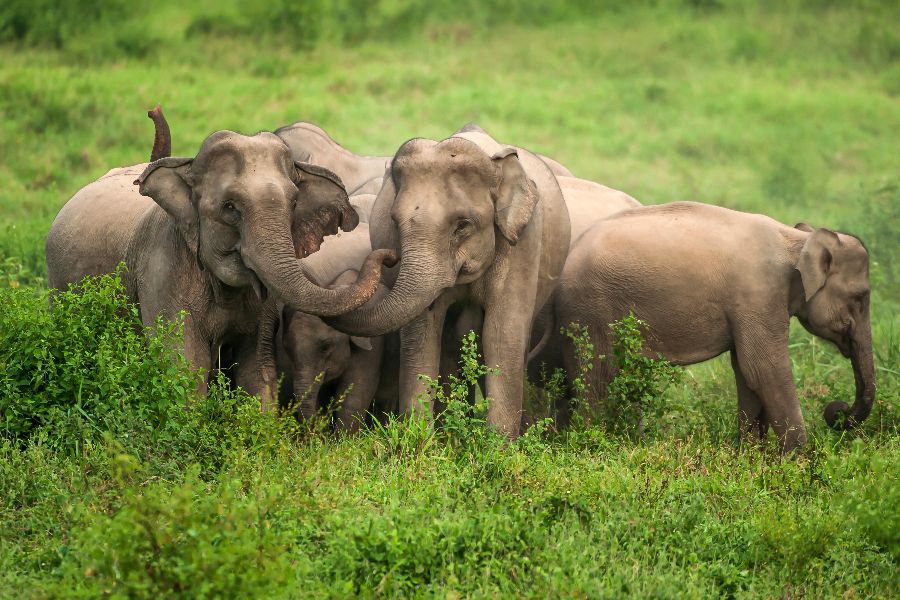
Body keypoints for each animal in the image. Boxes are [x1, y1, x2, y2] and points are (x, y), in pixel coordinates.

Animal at [328, 127, 568, 436]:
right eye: (394, 221)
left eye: (463, 225)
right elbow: (423, 332)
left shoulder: (523, 243)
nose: (388, 258)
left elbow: (502, 333)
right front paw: (420, 439)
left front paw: (498, 445)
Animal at [552, 199, 876, 452]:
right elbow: (763, 369)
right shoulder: (758, 295)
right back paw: (592, 444)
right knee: (597, 377)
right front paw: (798, 464)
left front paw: (752, 458)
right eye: (860, 298)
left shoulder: (750, 307)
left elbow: (746, 372)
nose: (837, 410)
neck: (794, 240)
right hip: (589, 311)